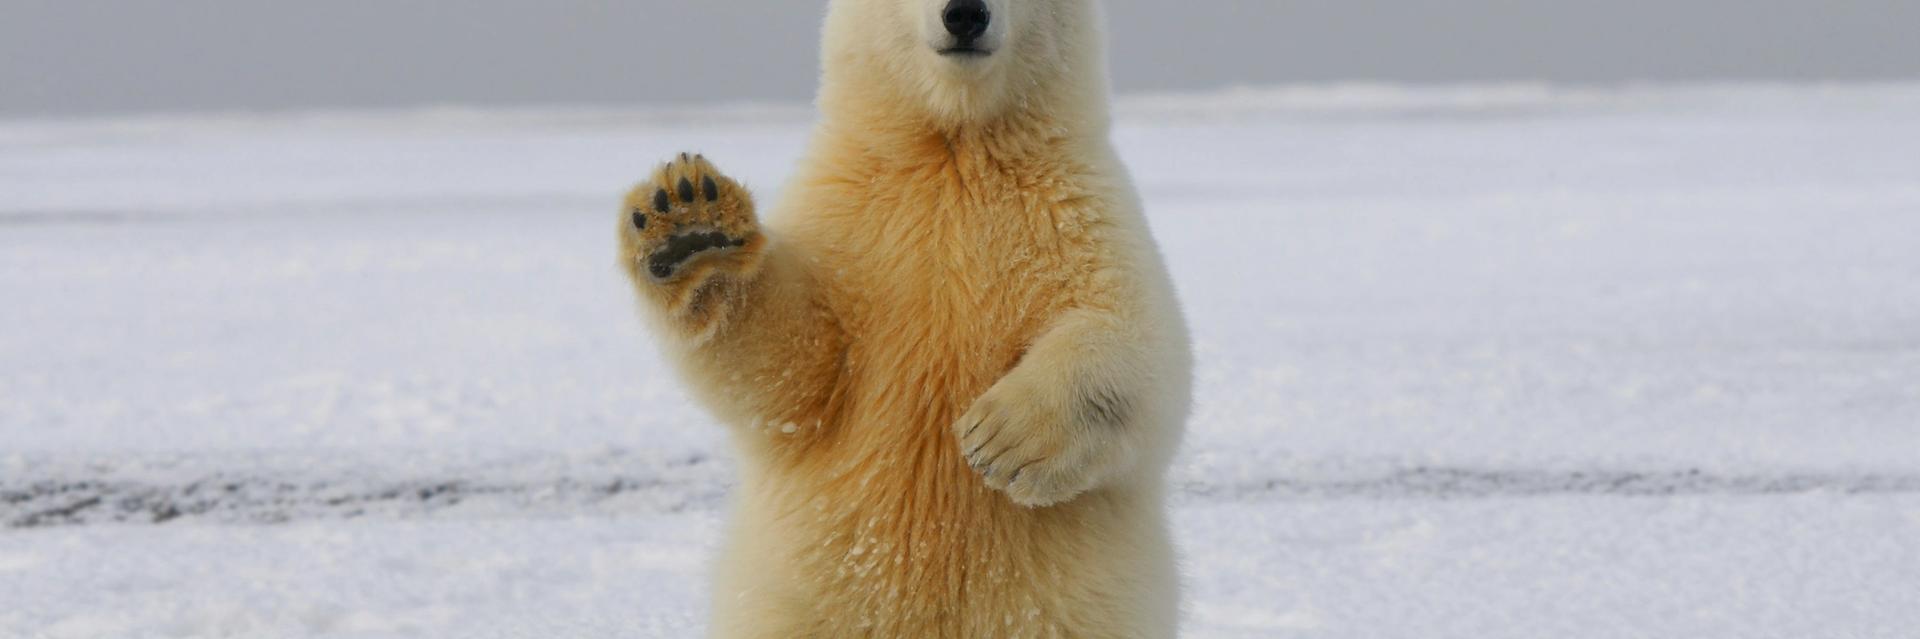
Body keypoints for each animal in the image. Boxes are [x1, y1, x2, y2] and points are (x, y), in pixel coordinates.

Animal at [616, 0, 1190, 636]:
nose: (964, 13)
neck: (953, 148)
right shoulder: (846, 219)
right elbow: (794, 369)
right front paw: (690, 224)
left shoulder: (1075, 211)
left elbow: (1138, 338)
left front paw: (999, 438)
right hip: (795, 604)